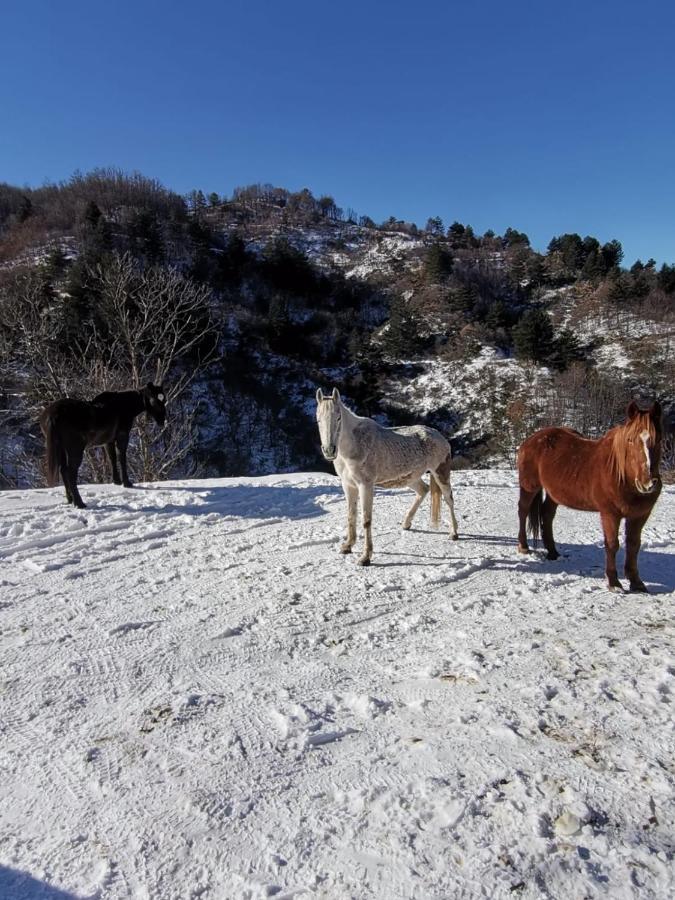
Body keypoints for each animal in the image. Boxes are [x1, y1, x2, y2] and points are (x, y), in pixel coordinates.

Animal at [40, 380, 168, 506]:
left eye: (164, 400)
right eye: (154, 400)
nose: (162, 421)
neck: (124, 406)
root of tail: (53, 414)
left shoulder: (108, 441)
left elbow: (112, 459)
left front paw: (117, 481)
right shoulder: (122, 437)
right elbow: (122, 458)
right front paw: (127, 483)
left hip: (62, 448)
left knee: (63, 471)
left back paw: (70, 499)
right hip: (75, 449)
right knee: (70, 473)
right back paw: (79, 503)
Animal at [316, 384, 460, 564]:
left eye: (338, 418)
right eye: (318, 420)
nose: (329, 450)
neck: (354, 446)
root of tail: (440, 436)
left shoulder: (365, 486)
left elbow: (366, 520)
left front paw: (365, 557)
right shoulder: (348, 486)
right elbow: (351, 516)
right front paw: (347, 547)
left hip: (440, 473)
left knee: (449, 499)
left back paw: (453, 533)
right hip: (411, 478)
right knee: (423, 490)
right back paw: (406, 524)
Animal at [516, 400, 664, 592]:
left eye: (659, 439)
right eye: (630, 440)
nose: (648, 483)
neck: (621, 474)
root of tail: (531, 439)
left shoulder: (639, 515)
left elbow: (633, 545)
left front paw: (636, 582)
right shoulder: (610, 514)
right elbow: (612, 544)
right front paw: (614, 583)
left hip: (554, 494)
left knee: (547, 516)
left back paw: (553, 552)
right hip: (529, 487)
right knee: (523, 511)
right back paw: (523, 546)